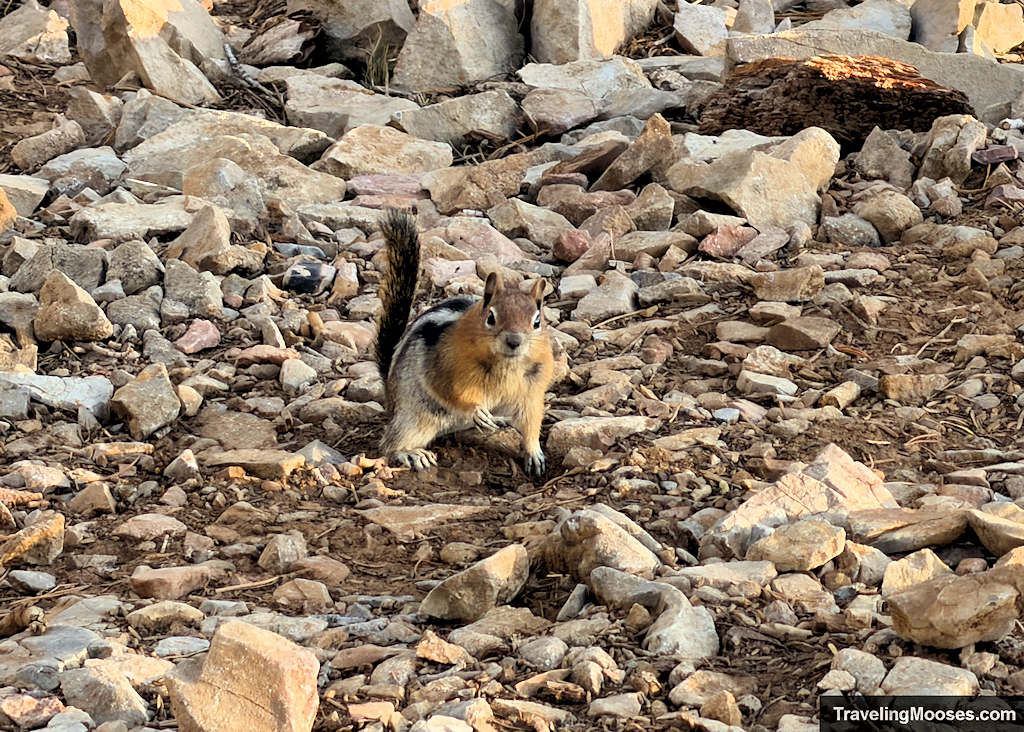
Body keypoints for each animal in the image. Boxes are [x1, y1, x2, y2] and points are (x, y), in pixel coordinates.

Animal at [374, 208, 555, 479]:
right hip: (415, 416)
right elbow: (453, 393)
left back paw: (498, 420)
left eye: (536, 321)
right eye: (490, 317)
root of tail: (388, 389)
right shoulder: (446, 369)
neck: (507, 365)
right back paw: (410, 453)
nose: (514, 341)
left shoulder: (532, 390)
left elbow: (532, 420)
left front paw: (534, 452)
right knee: (389, 443)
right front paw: (475, 410)